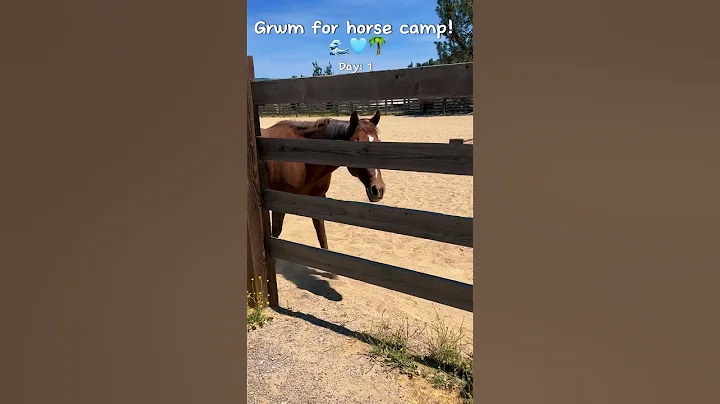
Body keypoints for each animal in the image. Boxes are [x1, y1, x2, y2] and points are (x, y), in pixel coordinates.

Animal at [260, 110, 385, 250]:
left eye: (379, 143)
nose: (378, 189)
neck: (302, 162)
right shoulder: (279, 202)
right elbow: (276, 232)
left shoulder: (318, 197)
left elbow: (321, 233)